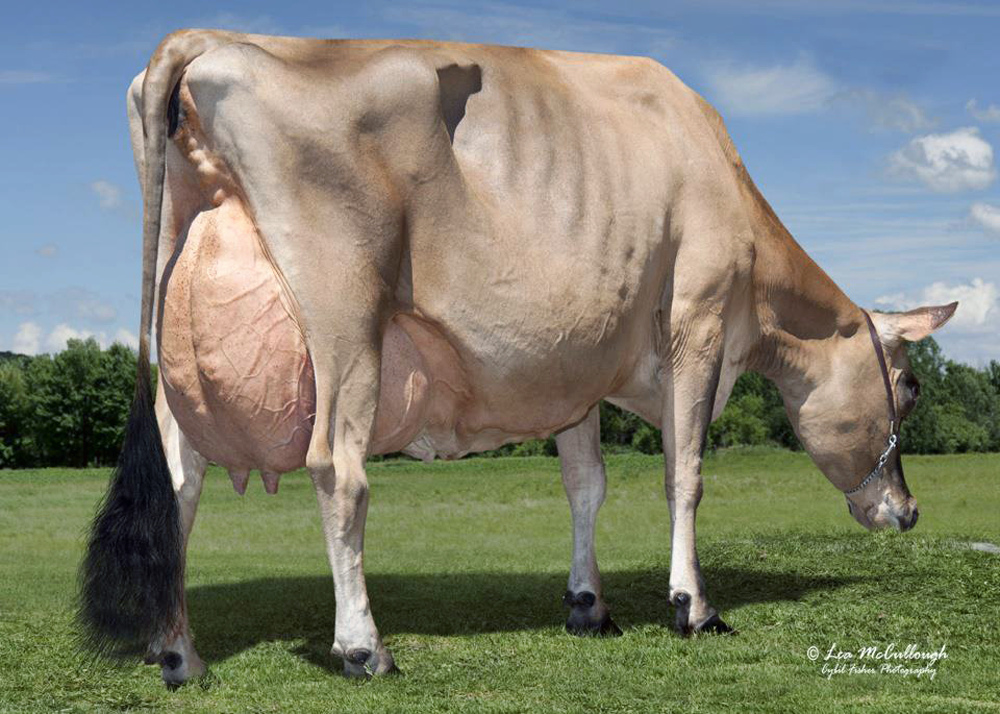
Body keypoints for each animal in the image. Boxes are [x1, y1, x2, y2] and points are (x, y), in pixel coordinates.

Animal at [79, 30, 957, 685]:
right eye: (911, 386)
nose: (910, 511)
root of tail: (210, 38)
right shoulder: (700, 318)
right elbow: (686, 473)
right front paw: (693, 606)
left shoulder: (578, 369)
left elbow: (586, 484)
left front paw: (588, 605)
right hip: (344, 314)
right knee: (337, 469)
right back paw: (364, 646)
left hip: (183, 335)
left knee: (180, 485)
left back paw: (178, 652)